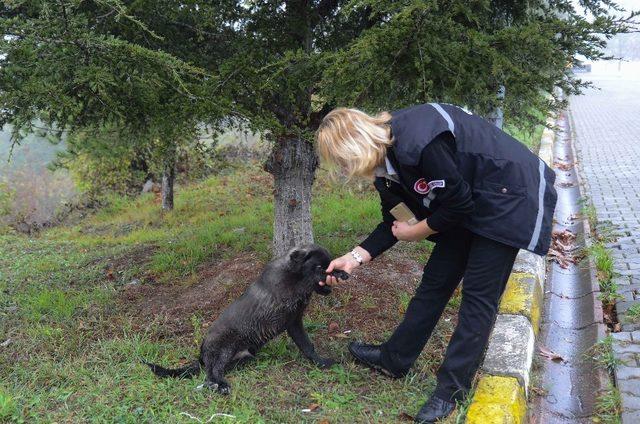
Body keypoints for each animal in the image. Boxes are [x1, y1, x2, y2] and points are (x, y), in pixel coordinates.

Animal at [144, 243, 348, 396]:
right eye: (320, 267)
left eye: (330, 263)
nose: (338, 273)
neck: (291, 273)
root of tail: (201, 355)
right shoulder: (293, 314)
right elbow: (306, 343)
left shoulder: (295, 321)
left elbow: (308, 346)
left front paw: (321, 362)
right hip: (224, 349)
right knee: (211, 374)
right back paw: (221, 386)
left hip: (245, 356)